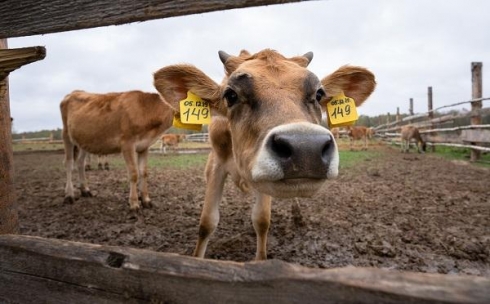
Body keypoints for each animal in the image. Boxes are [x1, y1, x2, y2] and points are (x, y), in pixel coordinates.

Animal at [153, 48, 376, 260]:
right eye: (230, 95)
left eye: (319, 94)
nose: (305, 148)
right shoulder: (217, 164)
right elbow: (207, 222)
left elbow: (261, 220)